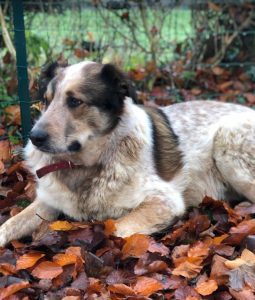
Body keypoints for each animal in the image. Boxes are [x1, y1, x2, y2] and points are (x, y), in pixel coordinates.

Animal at [0, 60, 255, 246]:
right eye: (46, 101)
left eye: (74, 101)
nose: (34, 137)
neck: (85, 166)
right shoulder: (47, 203)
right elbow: (8, 225)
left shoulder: (164, 200)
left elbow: (115, 230)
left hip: (228, 141)